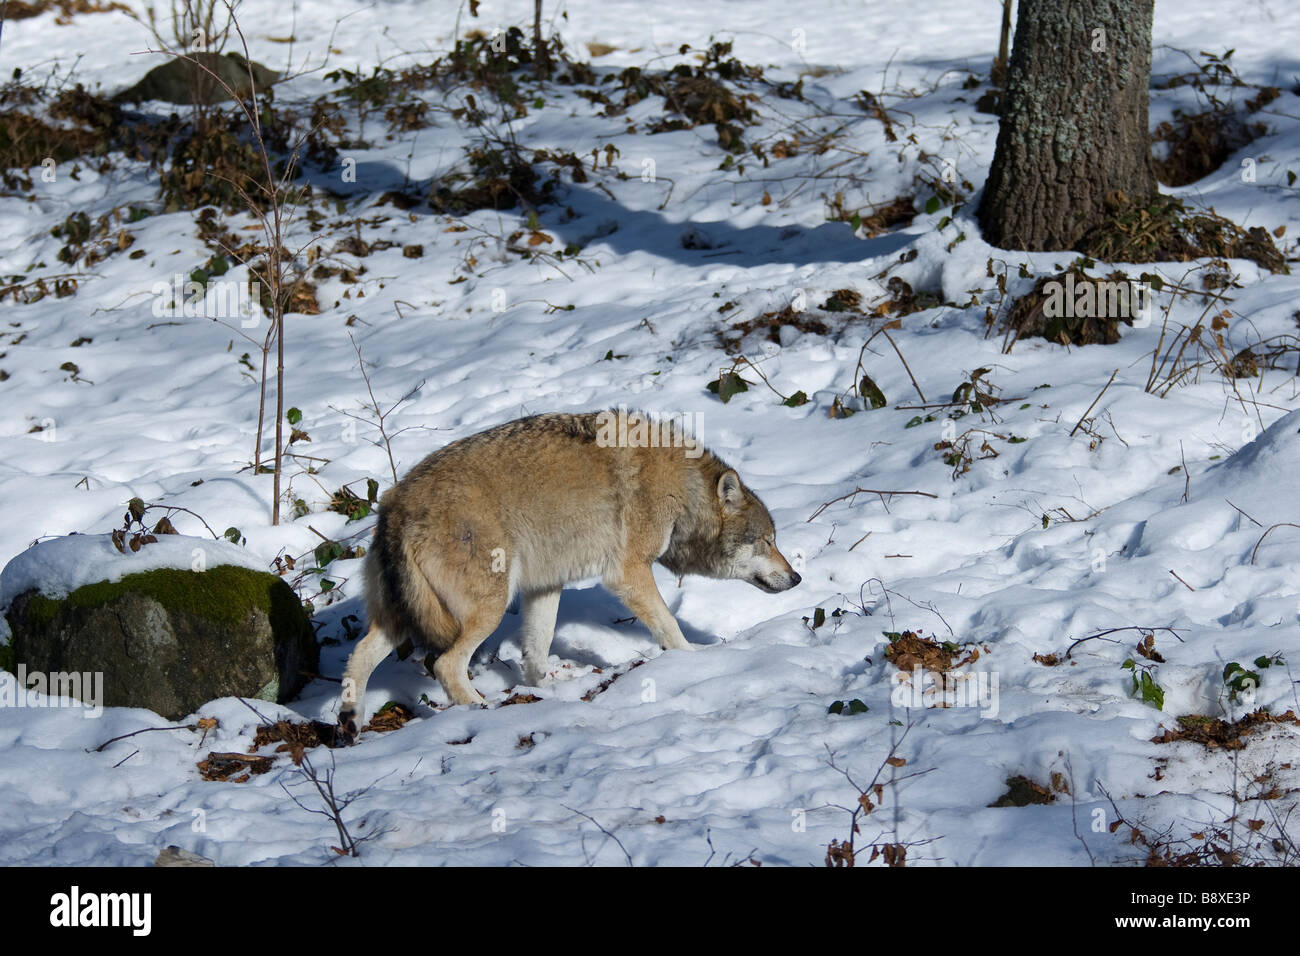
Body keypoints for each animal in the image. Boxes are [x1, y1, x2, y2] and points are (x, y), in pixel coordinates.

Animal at [338, 408, 800, 743]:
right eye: (767, 541)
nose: (796, 578)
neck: (681, 490)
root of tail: (395, 506)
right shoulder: (628, 574)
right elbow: (669, 626)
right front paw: (695, 660)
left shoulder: (545, 586)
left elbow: (537, 650)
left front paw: (545, 694)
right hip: (486, 610)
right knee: (445, 665)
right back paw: (483, 710)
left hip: (401, 619)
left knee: (358, 658)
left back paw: (349, 722)